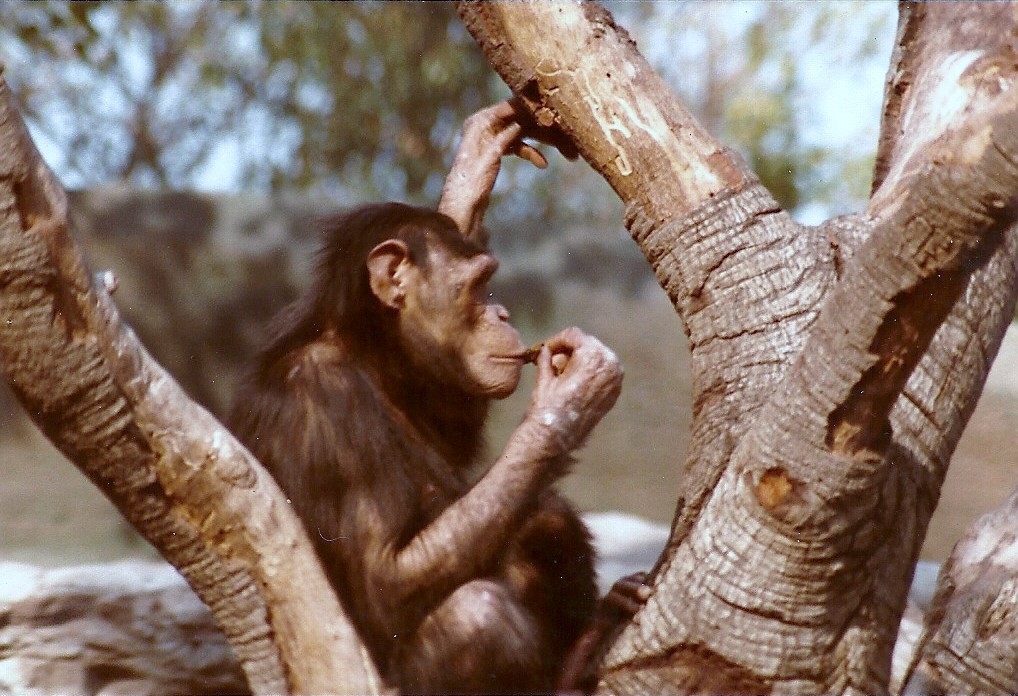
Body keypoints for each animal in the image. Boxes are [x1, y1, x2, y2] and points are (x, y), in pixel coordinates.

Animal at [227, 102, 634, 694]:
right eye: (479, 285)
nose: (502, 313)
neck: (369, 352)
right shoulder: (324, 401)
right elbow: (386, 577)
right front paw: (571, 398)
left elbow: (457, 430)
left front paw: (477, 159)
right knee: (478, 615)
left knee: (544, 516)